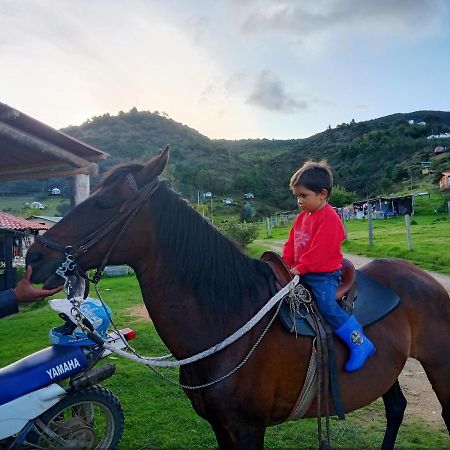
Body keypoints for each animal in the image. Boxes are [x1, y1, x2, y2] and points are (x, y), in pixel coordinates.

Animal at [27, 149, 450, 450]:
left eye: (103, 203)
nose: (33, 257)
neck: (228, 321)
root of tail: (423, 278)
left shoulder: (248, 429)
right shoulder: (223, 428)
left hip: (438, 365)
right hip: (387, 371)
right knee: (395, 409)